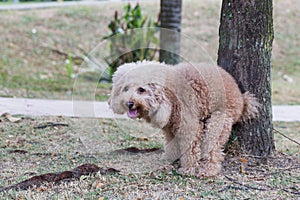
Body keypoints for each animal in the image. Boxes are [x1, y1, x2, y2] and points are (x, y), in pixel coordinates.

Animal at [108, 60, 260, 177]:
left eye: (141, 90)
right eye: (126, 88)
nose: (129, 103)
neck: (168, 95)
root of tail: (242, 98)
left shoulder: (190, 126)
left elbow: (190, 150)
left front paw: (188, 169)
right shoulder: (170, 128)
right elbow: (172, 145)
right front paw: (170, 159)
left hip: (219, 120)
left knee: (213, 147)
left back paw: (208, 170)